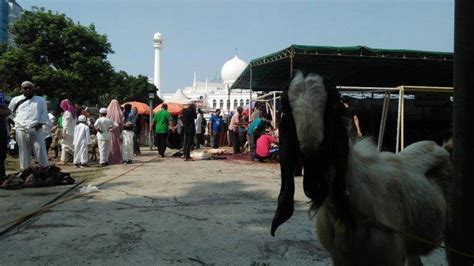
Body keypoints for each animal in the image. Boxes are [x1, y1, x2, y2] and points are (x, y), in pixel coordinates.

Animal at [270, 71, 452, 264]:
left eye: (331, 109)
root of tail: (443, 147)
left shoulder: (391, 258)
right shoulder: (339, 258)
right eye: (287, 113)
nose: (315, 183)